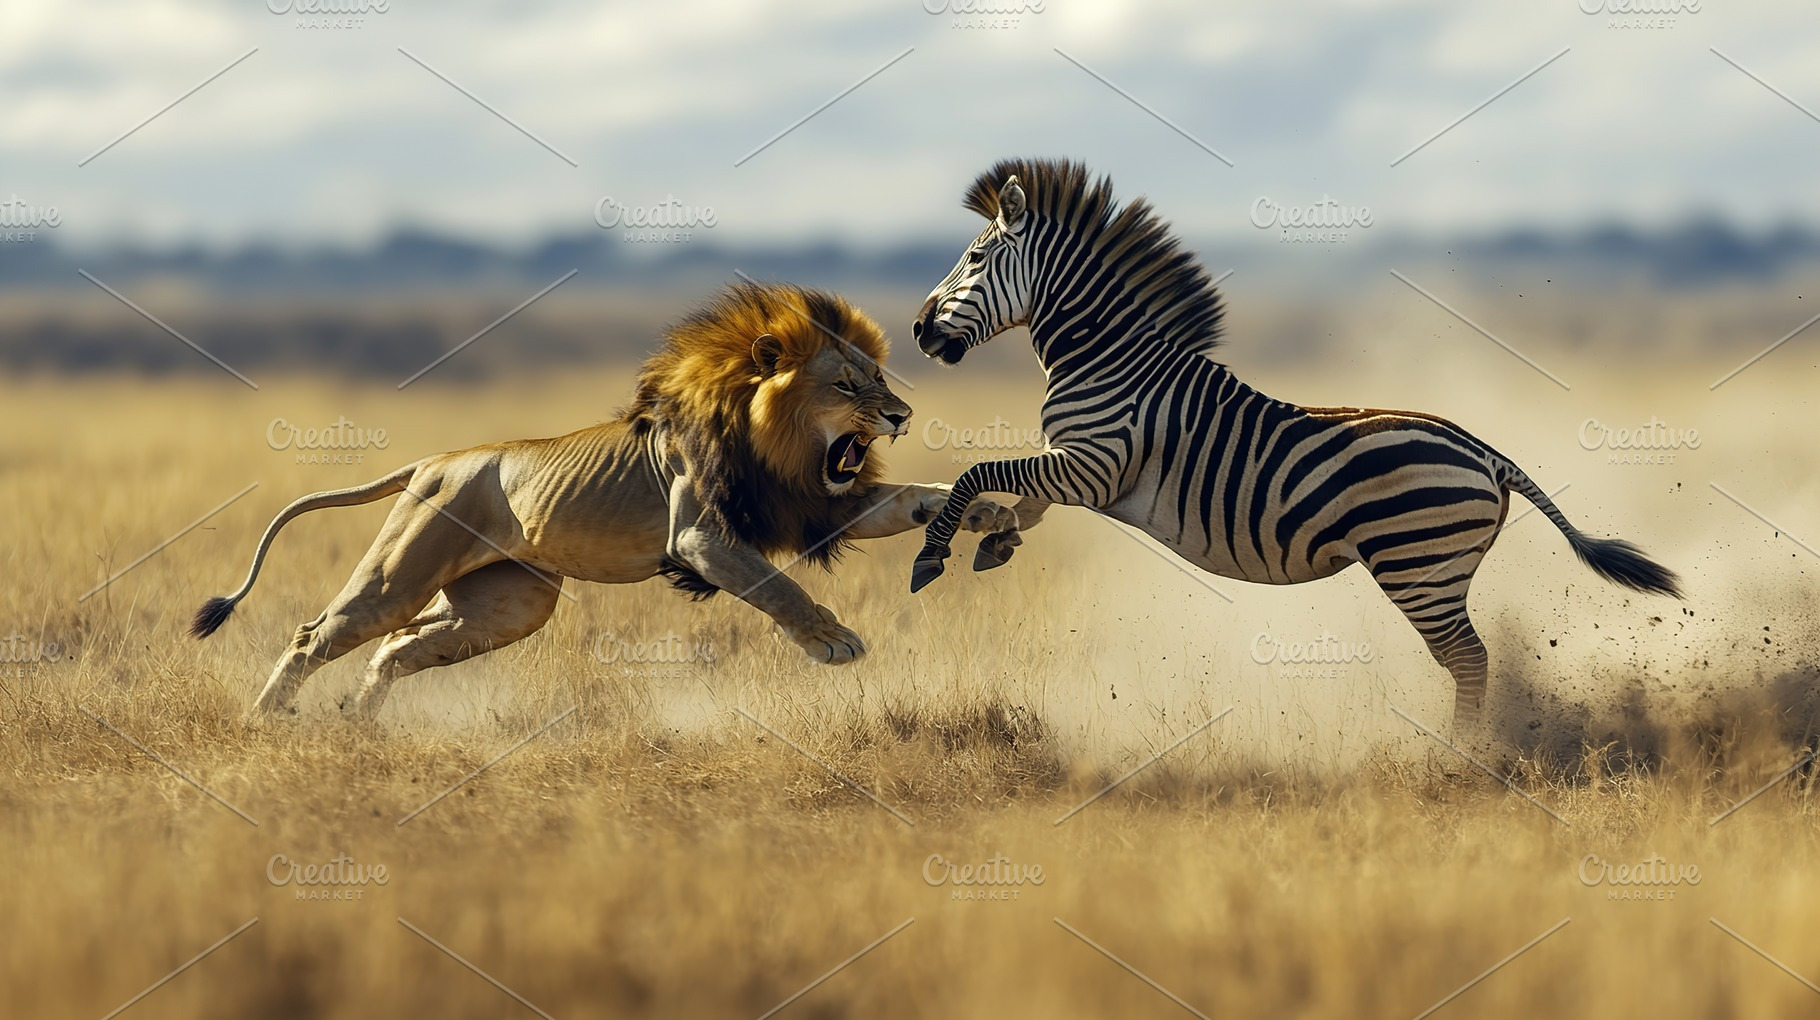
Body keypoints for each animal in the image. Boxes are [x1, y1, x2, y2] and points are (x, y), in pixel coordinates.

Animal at [190, 282, 1018, 719]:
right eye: (847, 386)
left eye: (879, 379)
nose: (903, 415)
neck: (774, 442)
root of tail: (437, 460)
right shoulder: (702, 538)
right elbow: (776, 587)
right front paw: (833, 641)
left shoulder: (821, 505)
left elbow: (916, 499)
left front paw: (990, 514)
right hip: (403, 573)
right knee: (318, 633)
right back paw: (266, 722)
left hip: (509, 605)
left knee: (397, 648)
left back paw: (356, 724)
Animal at [907, 159, 1680, 725]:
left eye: (976, 257)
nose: (917, 330)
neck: (1108, 358)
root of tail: (1488, 453)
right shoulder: (1072, 468)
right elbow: (1017, 500)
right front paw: (998, 542)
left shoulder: (1093, 467)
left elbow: (979, 473)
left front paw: (930, 557)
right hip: (1439, 567)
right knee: (1472, 658)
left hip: (1417, 565)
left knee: (1468, 660)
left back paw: (1463, 757)